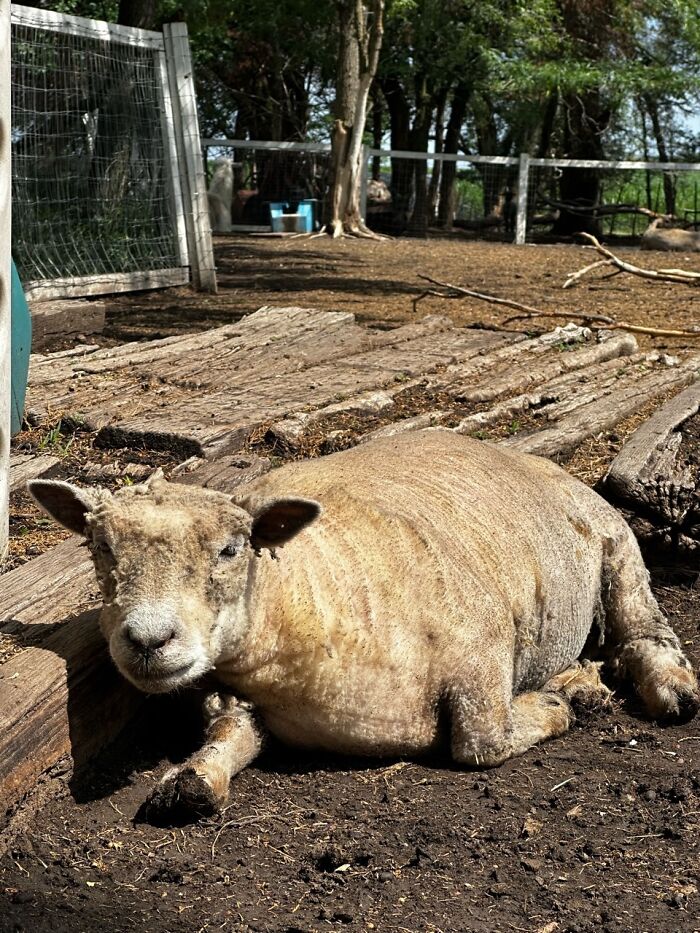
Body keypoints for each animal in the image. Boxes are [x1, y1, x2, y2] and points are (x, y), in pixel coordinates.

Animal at [29, 430, 699, 816]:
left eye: (230, 549)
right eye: (100, 548)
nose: (148, 640)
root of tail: (528, 458)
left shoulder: (484, 648)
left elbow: (480, 741)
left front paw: (551, 710)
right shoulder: (237, 698)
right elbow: (228, 734)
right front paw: (194, 779)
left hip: (613, 540)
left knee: (644, 628)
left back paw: (662, 687)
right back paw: (582, 681)